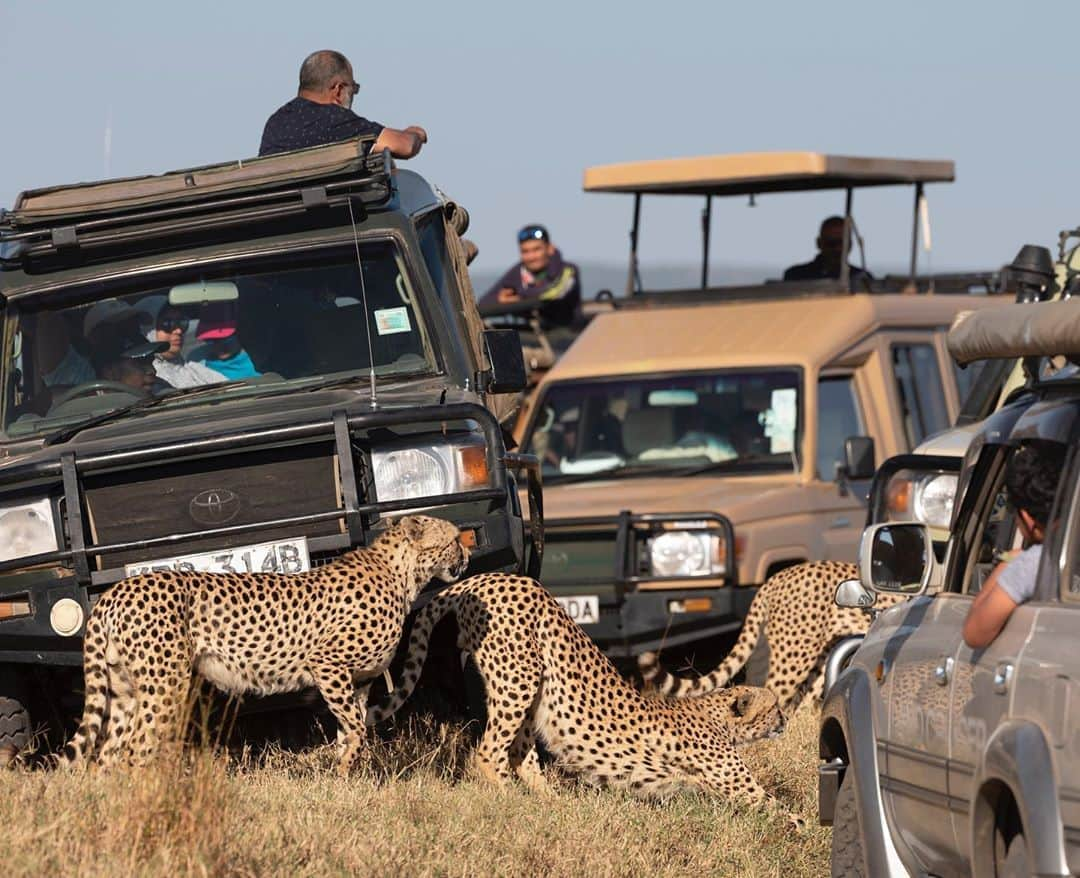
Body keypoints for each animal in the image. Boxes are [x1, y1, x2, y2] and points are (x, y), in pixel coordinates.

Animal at [62, 509, 468, 768]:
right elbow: (355, 729)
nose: (466, 552)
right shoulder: (327, 665)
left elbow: (348, 729)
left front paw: (352, 777)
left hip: (125, 687)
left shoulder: (359, 681)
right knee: (135, 747)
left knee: (107, 754)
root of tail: (116, 591)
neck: (402, 574)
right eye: (452, 539)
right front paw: (346, 772)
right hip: (165, 685)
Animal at [367, 574, 790, 816]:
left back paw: (556, 804)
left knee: (521, 755)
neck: (714, 713)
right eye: (774, 707)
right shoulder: (741, 790)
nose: (786, 720)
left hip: (530, 687)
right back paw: (515, 799)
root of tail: (487, 576)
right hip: (519, 674)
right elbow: (785, 813)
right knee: (489, 752)